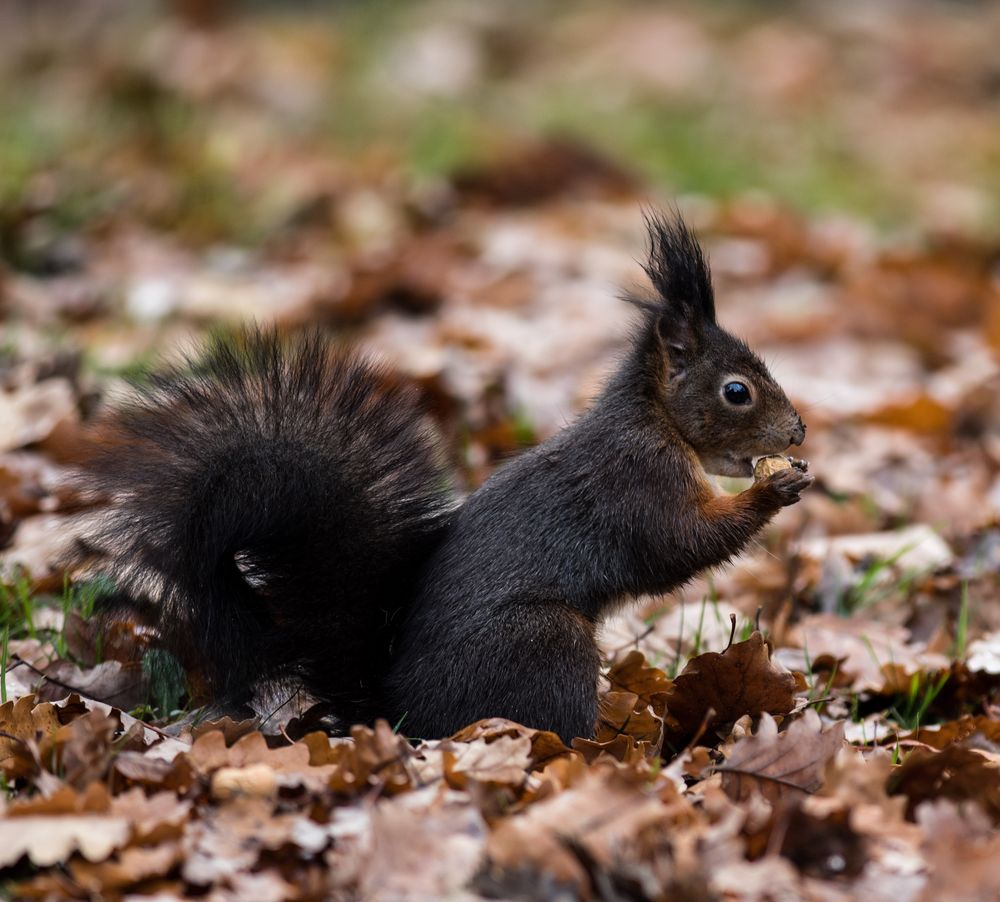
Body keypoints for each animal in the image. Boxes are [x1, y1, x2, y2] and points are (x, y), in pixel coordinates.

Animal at [84, 212, 812, 740]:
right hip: (544, 642)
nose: (799, 432)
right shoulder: (636, 482)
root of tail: (402, 710)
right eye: (737, 391)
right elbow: (679, 544)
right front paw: (771, 489)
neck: (656, 421)